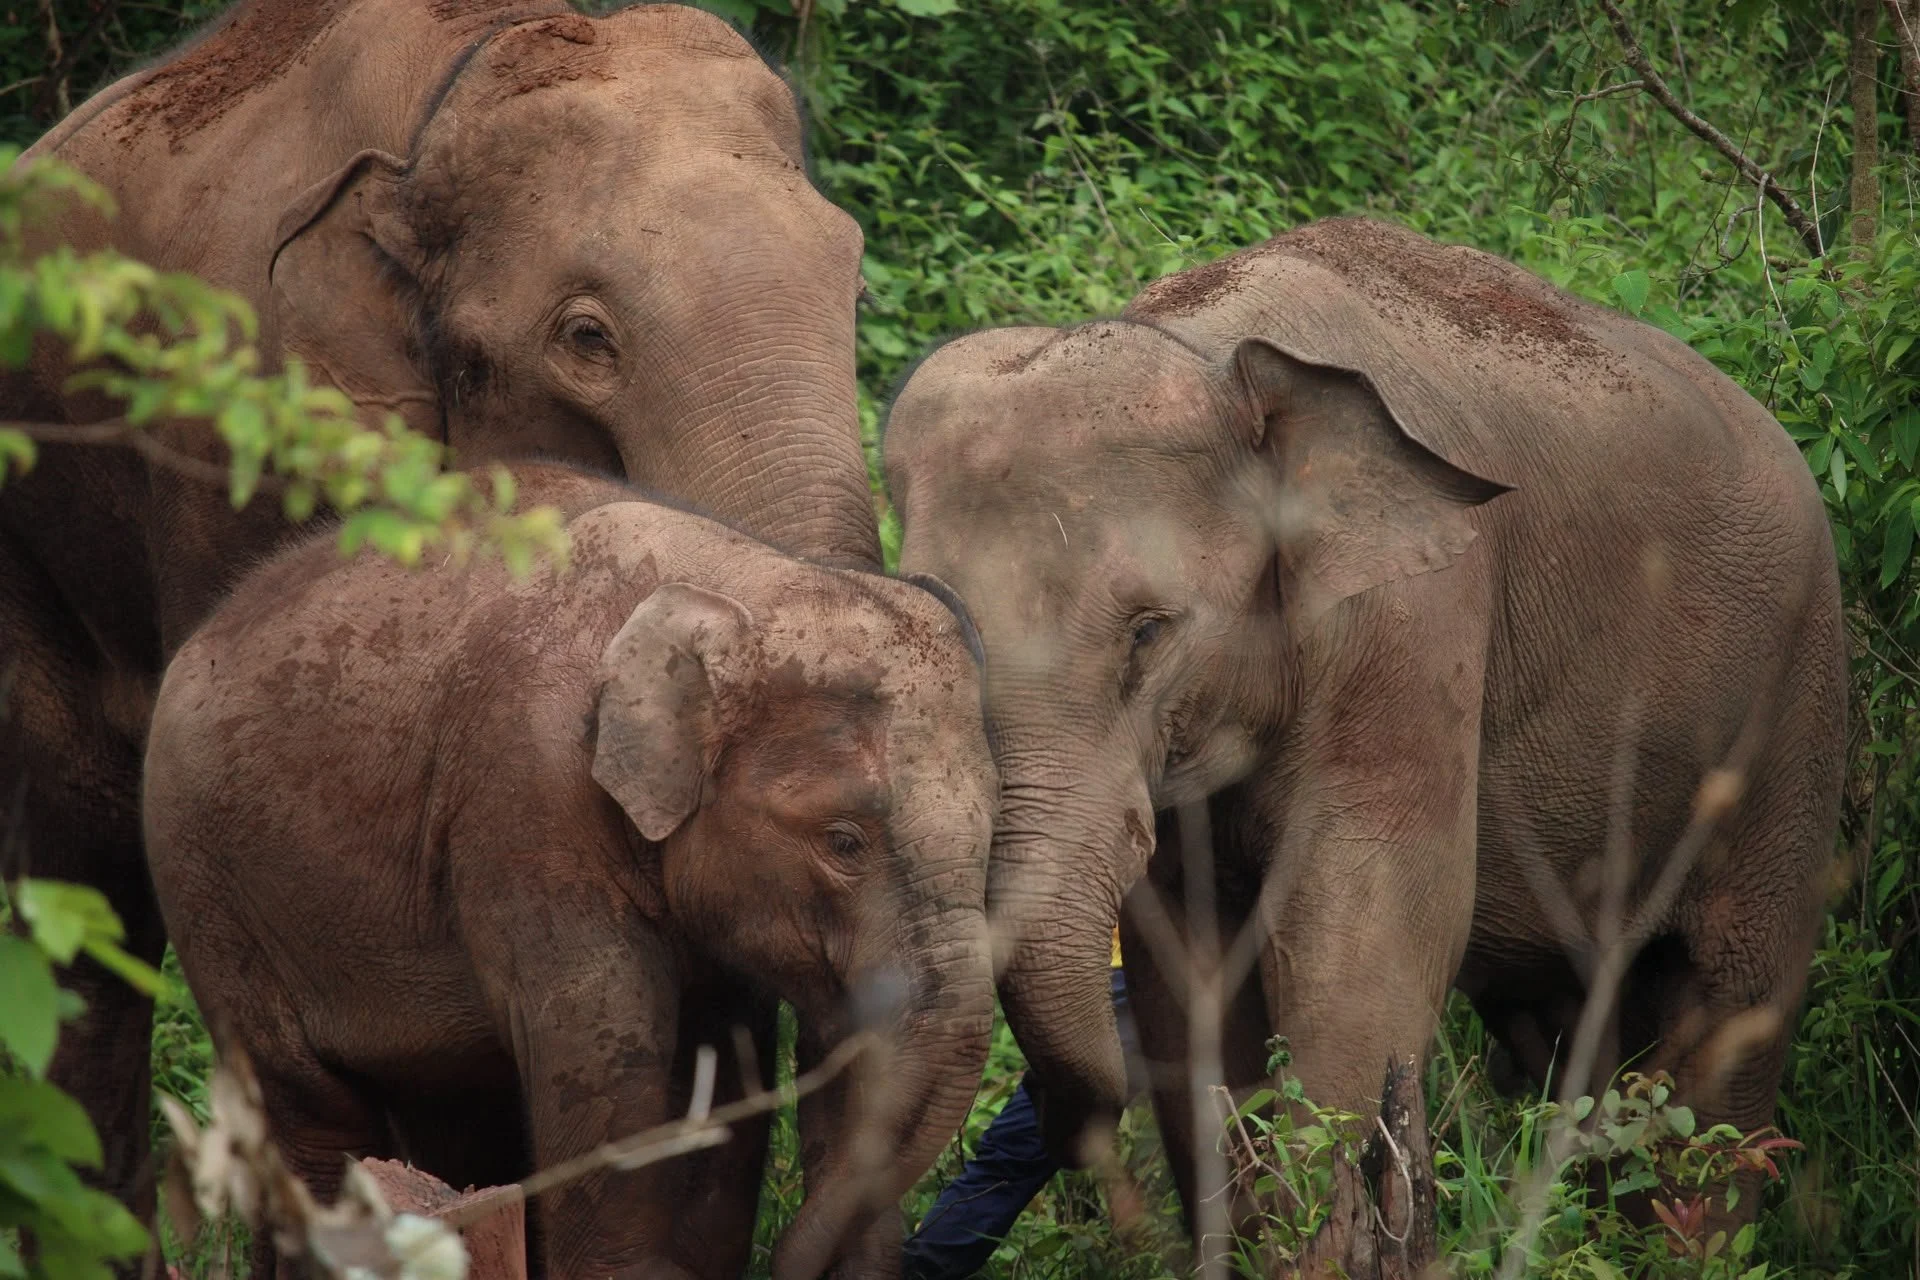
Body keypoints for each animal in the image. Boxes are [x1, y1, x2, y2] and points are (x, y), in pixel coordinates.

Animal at [141, 462, 997, 1279]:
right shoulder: (527, 793)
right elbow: (607, 1046)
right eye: (844, 842)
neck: (737, 582)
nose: (791, 1256)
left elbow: (723, 1067)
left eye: (993, 832)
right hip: (206, 883)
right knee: (311, 1112)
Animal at [882, 217, 1845, 1237]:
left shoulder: (1416, 615)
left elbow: (1367, 932)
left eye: (1149, 631)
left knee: (1729, 1007)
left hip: (1795, 700)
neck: (1214, 347)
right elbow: (1185, 970)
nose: (1049, 1118)